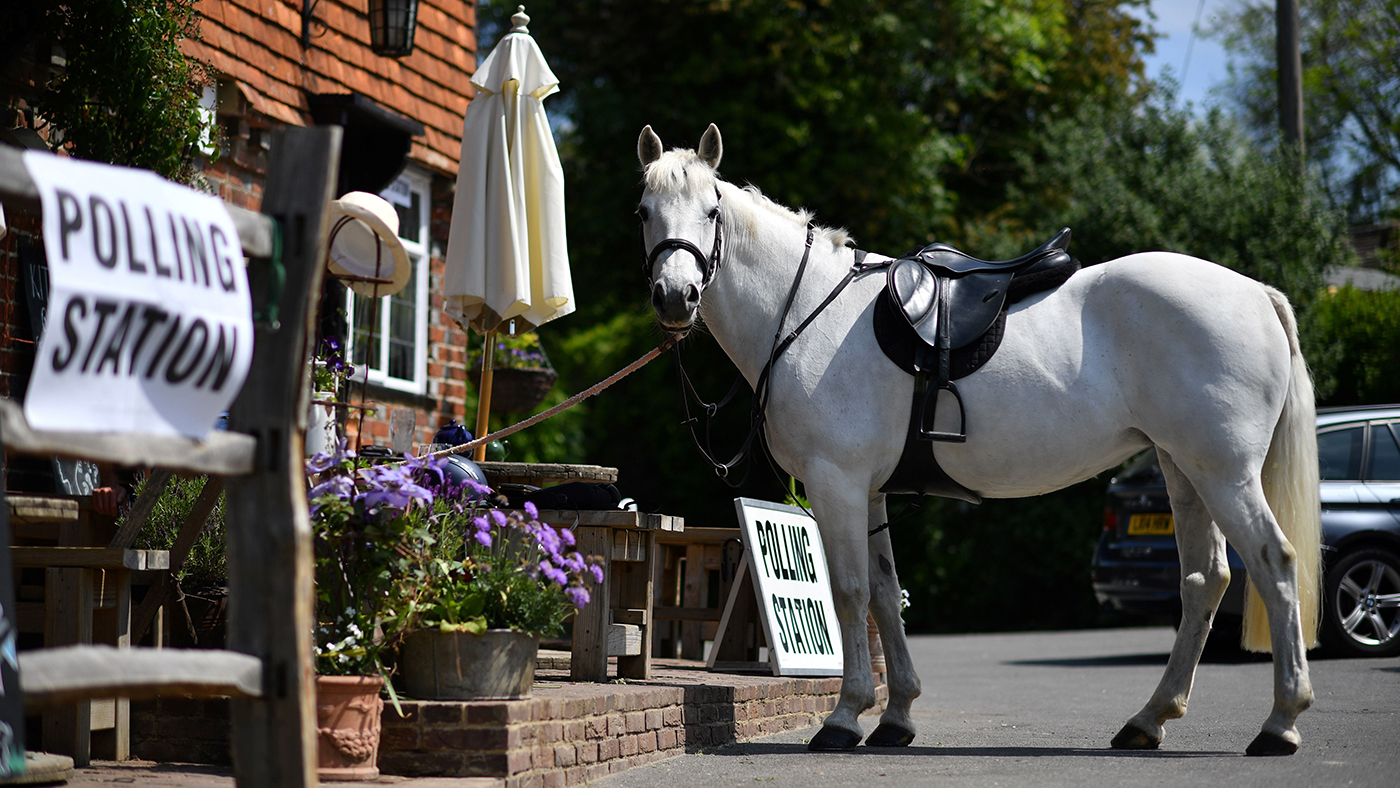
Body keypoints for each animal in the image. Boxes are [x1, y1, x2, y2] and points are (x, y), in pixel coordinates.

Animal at [636, 124, 1322, 756]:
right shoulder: (870, 492)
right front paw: (896, 717)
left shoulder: (837, 484)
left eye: (711, 210)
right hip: (1184, 470)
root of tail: (1255, 292)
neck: (806, 306)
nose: (676, 297)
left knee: (1274, 564)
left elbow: (850, 593)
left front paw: (844, 717)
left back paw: (1281, 723)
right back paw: (1149, 720)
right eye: (644, 211)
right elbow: (884, 595)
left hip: (1223, 473)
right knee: (1205, 581)